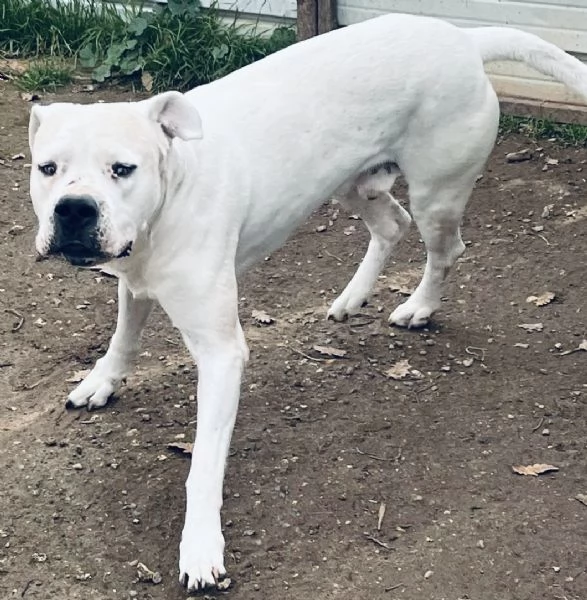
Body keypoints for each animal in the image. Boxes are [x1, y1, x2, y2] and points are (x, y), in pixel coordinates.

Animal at [28, 12, 587, 592]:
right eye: (47, 168)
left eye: (123, 169)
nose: (73, 209)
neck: (170, 193)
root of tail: (461, 37)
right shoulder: (134, 279)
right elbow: (122, 337)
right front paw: (100, 382)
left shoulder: (221, 353)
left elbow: (203, 465)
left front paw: (200, 546)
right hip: (355, 184)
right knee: (392, 224)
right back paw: (352, 296)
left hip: (438, 194)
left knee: (445, 247)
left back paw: (419, 306)